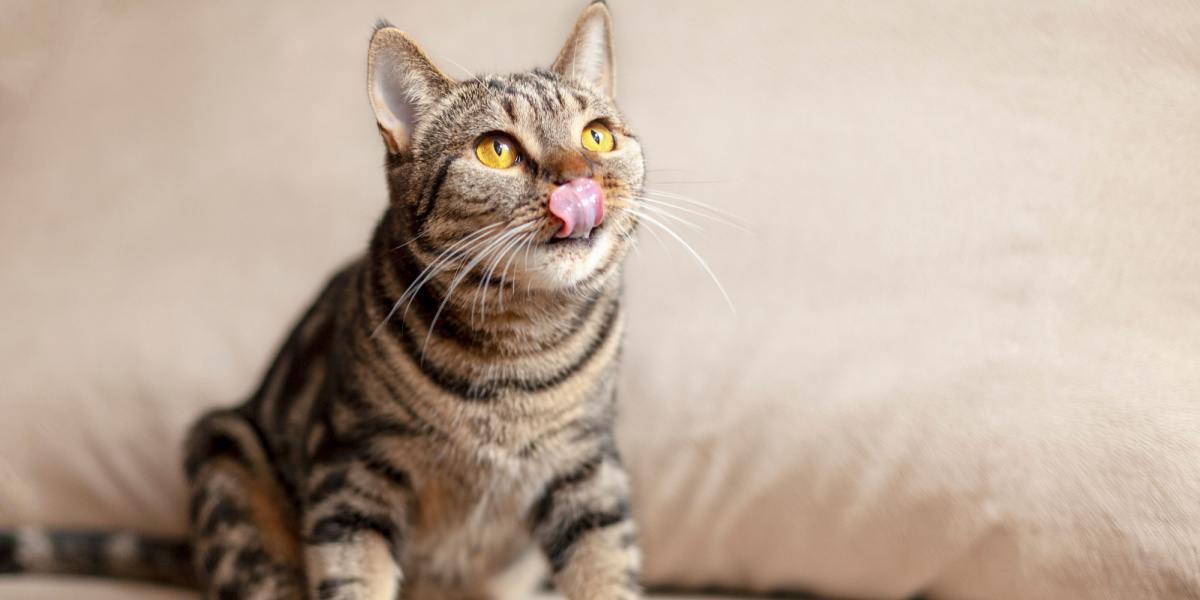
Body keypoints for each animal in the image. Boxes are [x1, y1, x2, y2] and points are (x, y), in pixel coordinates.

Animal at [0, 2, 648, 597]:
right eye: (496, 150)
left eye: (596, 135)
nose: (580, 181)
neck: (518, 348)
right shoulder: (352, 472)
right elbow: (353, 577)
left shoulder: (587, 471)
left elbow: (607, 567)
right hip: (227, 470)